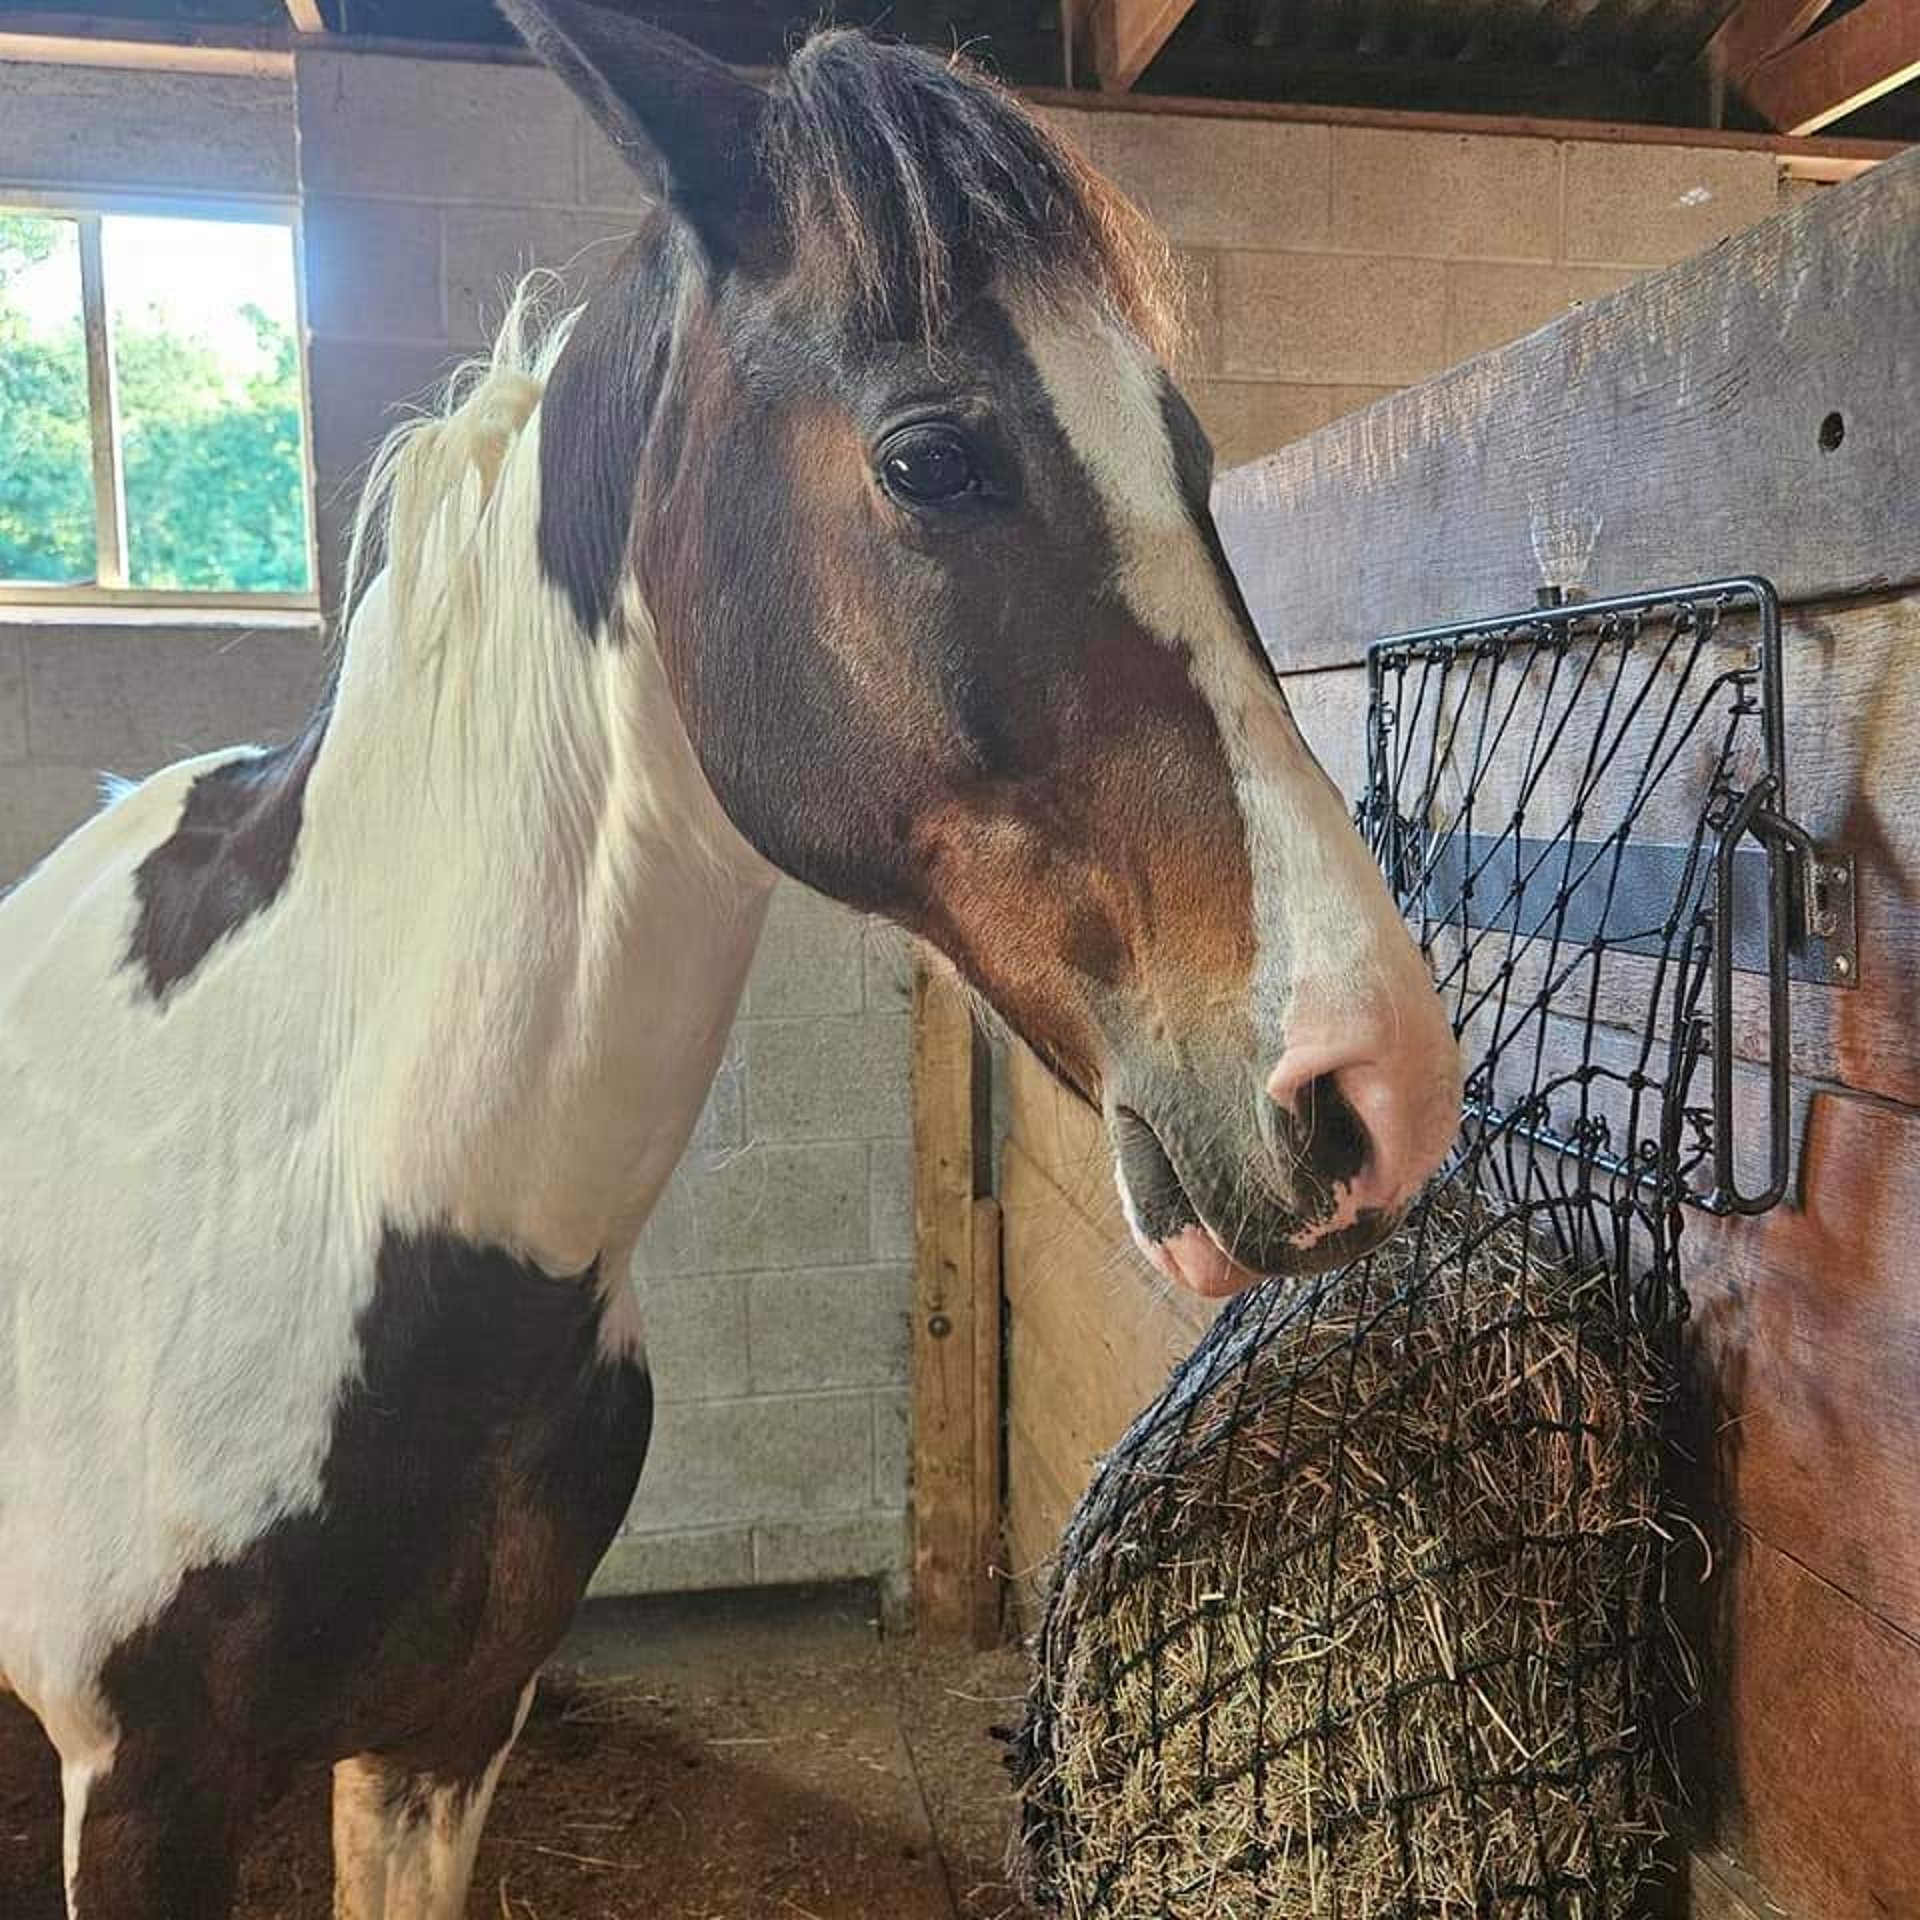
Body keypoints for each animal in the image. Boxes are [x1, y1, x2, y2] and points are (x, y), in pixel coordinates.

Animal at [0, 7, 1451, 1912]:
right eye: (930, 460)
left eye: (1193, 461)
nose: (1379, 1083)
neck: (315, 1194)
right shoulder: (144, 1794)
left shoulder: (444, 1741)